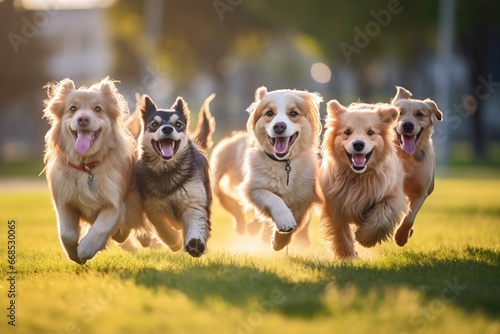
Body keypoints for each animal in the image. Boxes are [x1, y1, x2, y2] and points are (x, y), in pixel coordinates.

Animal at [42, 77, 145, 264]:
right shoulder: (63, 203)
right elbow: (66, 233)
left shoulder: (115, 204)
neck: (86, 167)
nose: (83, 119)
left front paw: (86, 248)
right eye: (72, 109)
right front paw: (74, 254)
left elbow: (101, 227)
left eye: (98, 109)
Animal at [241, 86, 324, 250]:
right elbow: (273, 198)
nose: (279, 126)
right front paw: (284, 220)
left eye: (293, 114)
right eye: (269, 113)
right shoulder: (252, 189)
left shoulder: (305, 196)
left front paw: (280, 240)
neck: (283, 163)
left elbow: (297, 217)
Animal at [320, 100, 410, 260]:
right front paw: (348, 256)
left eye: (371, 132)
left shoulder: (393, 197)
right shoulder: (334, 204)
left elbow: (381, 216)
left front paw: (365, 238)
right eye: (347, 132)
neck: (358, 177)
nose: (358, 144)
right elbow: (340, 232)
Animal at [392, 86, 444, 245]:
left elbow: (409, 217)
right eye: (400, 113)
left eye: (419, 114)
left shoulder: (421, 191)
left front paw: (401, 235)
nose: (408, 125)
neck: (406, 155)